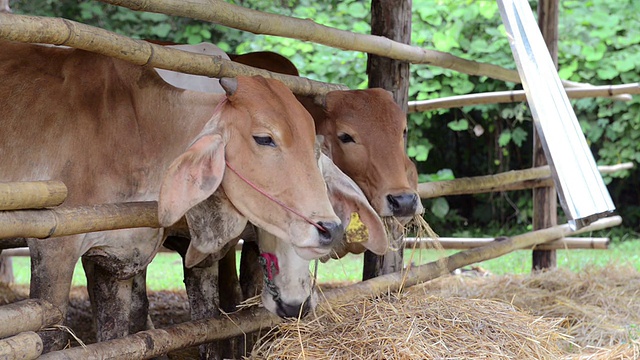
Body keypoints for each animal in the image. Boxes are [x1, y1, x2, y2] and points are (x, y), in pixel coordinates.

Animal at [0, 40, 350, 352]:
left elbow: (117, 335)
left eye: (311, 143)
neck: (139, 131)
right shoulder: (54, 249)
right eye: (264, 138)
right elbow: (50, 339)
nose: (330, 229)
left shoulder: (116, 261)